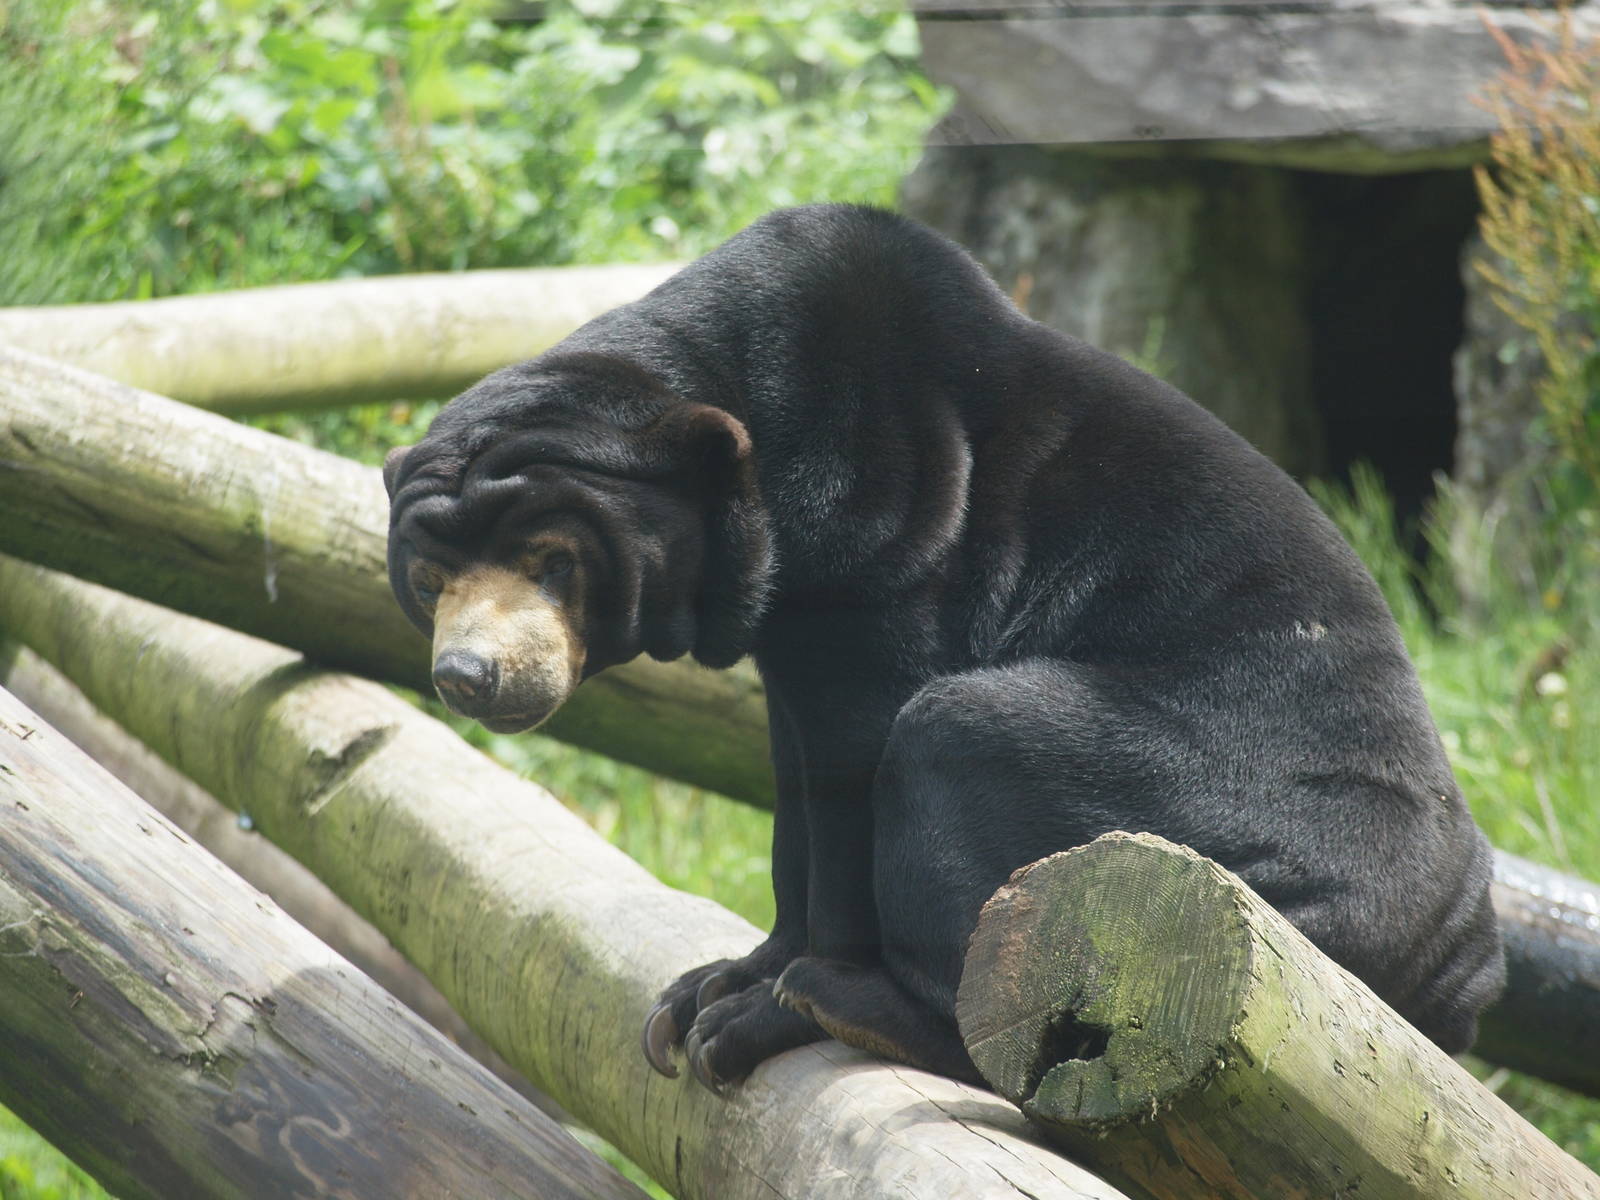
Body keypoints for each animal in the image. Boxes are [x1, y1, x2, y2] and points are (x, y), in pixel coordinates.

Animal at [384, 203, 1505, 1094]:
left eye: (553, 561)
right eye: (429, 582)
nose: (469, 676)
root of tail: (1460, 955)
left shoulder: (886, 543)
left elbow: (858, 770)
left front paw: (759, 1011)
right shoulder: (789, 622)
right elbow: (796, 796)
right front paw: (712, 984)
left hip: (1245, 832)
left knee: (962, 740)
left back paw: (877, 1011)